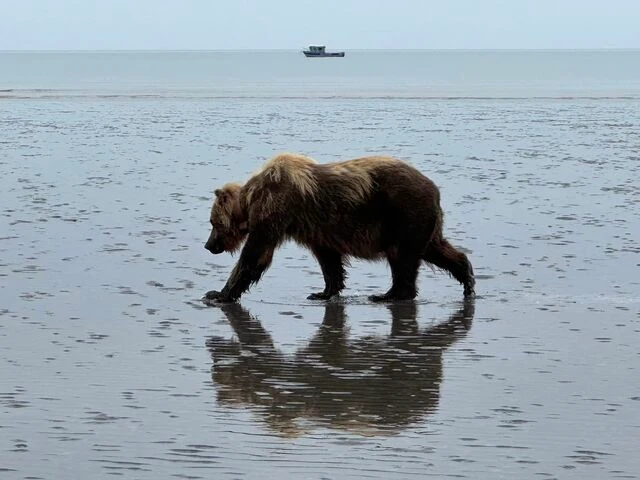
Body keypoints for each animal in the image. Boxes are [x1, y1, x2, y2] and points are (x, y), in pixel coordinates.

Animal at [204, 153, 475, 303]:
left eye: (213, 223)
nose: (208, 245)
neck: (252, 199)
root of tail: (435, 189)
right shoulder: (315, 227)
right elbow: (329, 259)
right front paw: (323, 292)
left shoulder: (276, 211)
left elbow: (256, 255)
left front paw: (217, 294)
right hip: (421, 222)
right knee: (435, 249)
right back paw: (468, 280)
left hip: (403, 214)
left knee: (402, 256)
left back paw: (387, 294)